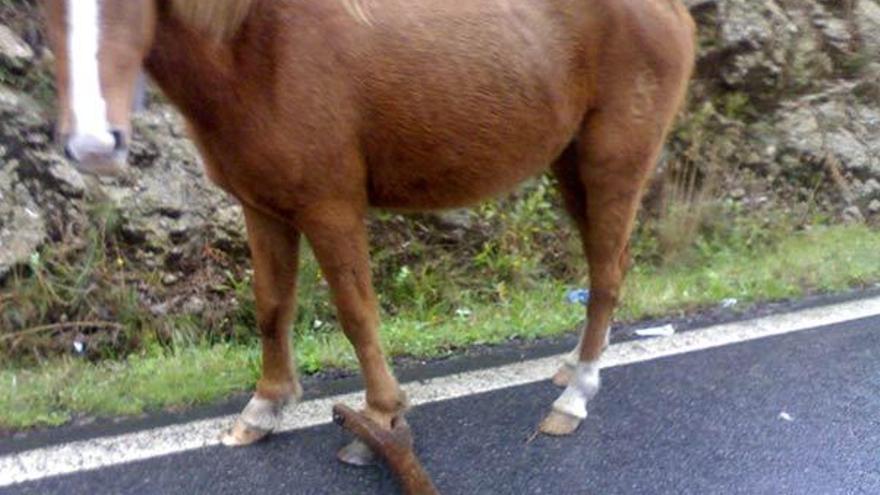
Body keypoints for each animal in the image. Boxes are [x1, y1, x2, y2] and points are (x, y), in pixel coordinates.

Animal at [46, 0, 696, 464]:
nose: (94, 144)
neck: (258, 51)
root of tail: (670, 11)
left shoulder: (330, 208)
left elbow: (356, 312)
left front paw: (380, 419)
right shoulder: (263, 209)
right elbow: (271, 306)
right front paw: (266, 406)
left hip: (613, 164)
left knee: (606, 276)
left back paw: (575, 395)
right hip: (569, 167)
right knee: (608, 266)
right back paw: (572, 365)